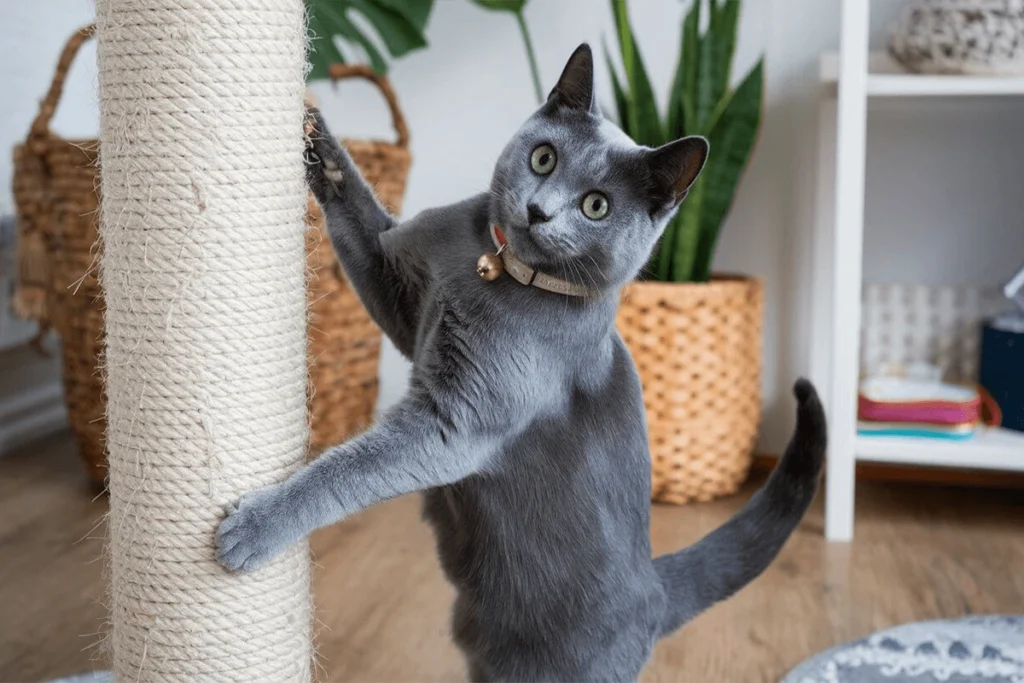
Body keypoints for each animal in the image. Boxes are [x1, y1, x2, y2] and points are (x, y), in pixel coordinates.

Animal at [218, 45, 831, 679]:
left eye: (596, 205)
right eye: (543, 157)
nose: (539, 211)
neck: (491, 268)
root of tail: (657, 588)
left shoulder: (454, 424)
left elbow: (347, 470)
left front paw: (253, 527)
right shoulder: (404, 303)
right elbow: (363, 223)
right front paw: (317, 135)